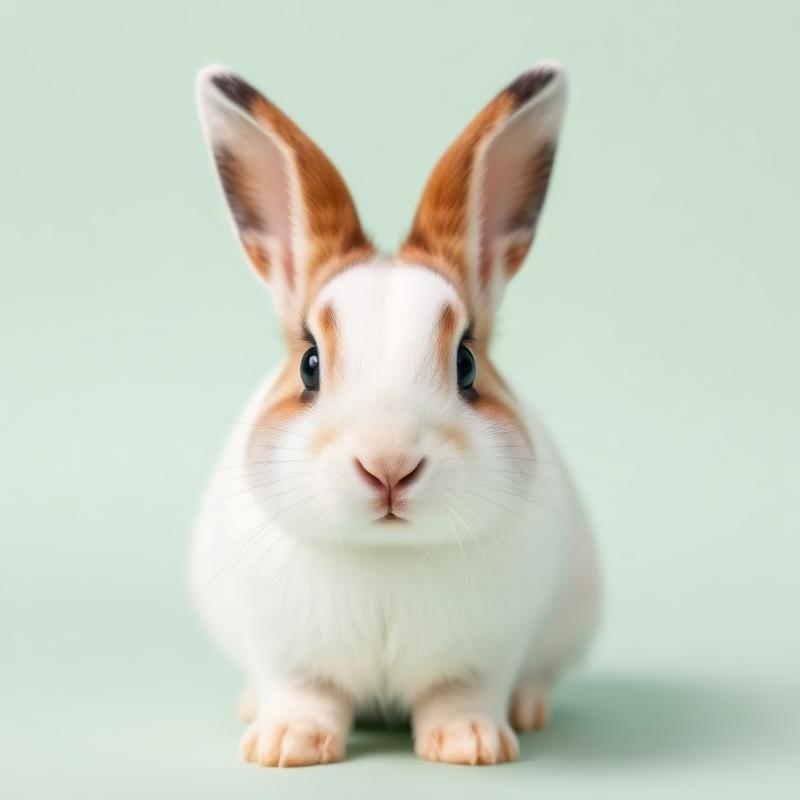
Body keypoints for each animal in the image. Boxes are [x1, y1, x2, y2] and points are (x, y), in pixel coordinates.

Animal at [191, 60, 601, 768]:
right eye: (310, 364)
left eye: (466, 363)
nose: (388, 466)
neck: (386, 557)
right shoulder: (287, 655)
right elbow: (305, 693)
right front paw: (286, 745)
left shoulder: (483, 655)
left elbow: (460, 694)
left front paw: (471, 745)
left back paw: (530, 708)